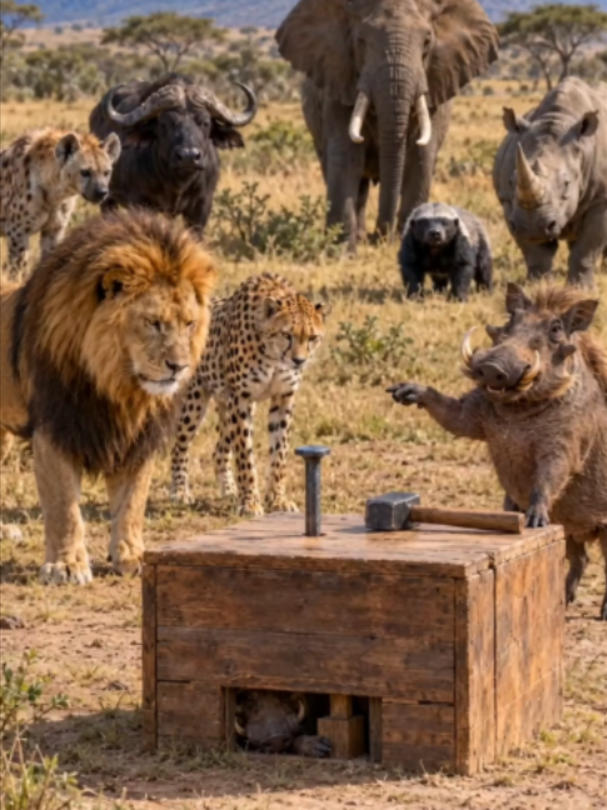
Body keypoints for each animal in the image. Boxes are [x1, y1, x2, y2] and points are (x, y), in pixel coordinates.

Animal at [0, 209, 216, 583]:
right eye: (153, 323)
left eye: (189, 323)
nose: (179, 366)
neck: (118, 385)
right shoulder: (56, 430)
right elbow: (64, 508)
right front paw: (66, 565)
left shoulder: (137, 438)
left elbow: (132, 503)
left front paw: (131, 555)